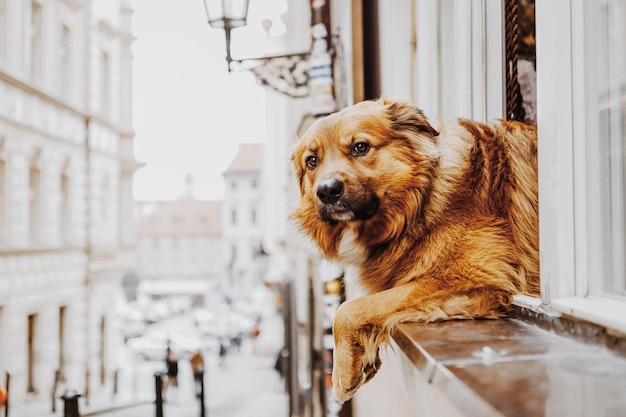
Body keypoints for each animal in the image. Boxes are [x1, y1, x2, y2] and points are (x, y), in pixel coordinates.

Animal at [290, 96, 540, 400]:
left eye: (360, 147)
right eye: (312, 161)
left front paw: (343, 371)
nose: (327, 191)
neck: (422, 200)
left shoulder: (467, 276)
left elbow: (350, 308)